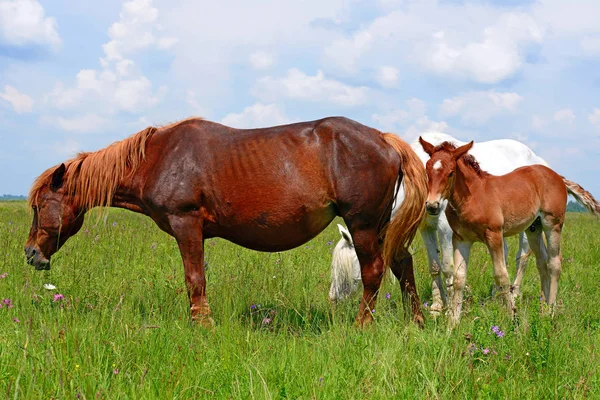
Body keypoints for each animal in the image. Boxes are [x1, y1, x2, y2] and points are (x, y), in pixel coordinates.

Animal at [24, 116, 426, 328]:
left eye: (40, 205)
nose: (30, 254)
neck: (158, 158)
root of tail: (383, 139)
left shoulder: (186, 225)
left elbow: (194, 277)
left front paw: (202, 323)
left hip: (363, 225)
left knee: (374, 271)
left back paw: (362, 325)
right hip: (381, 226)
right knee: (402, 265)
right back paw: (417, 322)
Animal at [328, 133, 548, 314]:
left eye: (348, 265)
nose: (332, 299)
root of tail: (539, 160)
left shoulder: (446, 231)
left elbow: (448, 267)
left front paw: (451, 304)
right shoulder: (427, 229)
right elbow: (434, 266)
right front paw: (436, 305)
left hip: (528, 225)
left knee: (522, 256)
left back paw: (514, 294)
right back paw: (497, 296)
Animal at [418, 138, 600, 324]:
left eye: (451, 173)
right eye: (427, 171)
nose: (432, 206)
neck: (473, 196)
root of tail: (559, 177)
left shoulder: (494, 235)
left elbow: (501, 275)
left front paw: (511, 316)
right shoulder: (461, 239)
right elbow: (459, 278)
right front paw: (453, 323)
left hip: (553, 224)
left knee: (554, 263)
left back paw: (550, 310)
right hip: (534, 228)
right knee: (541, 262)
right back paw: (542, 309)